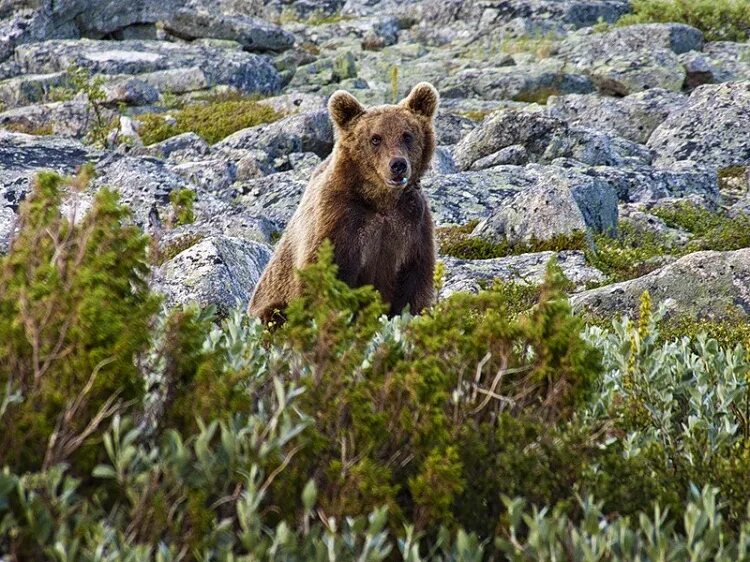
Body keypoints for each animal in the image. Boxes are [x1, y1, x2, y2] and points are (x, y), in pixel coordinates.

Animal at [250, 81, 444, 322]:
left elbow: (415, 286)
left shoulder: (411, 225)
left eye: (407, 135)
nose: (398, 165)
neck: (381, 201)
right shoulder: (338, 221)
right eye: (375, 138)